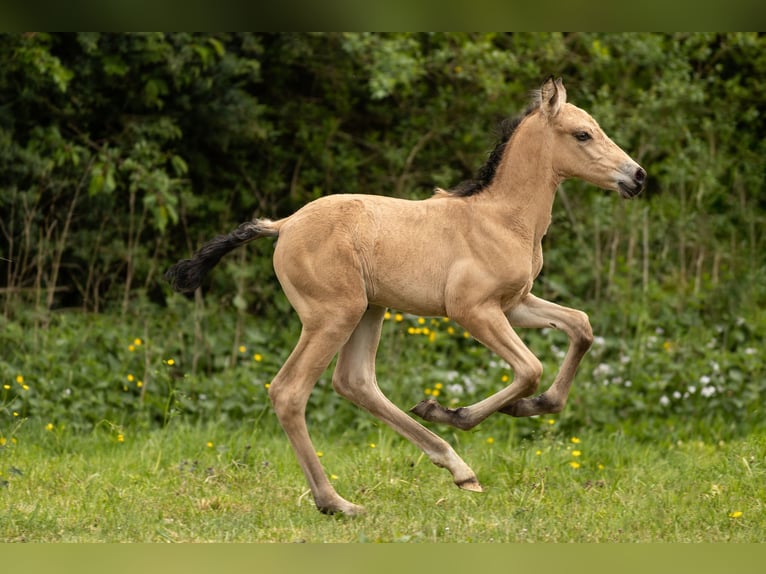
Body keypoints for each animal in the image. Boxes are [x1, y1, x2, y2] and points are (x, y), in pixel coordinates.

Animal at [165, 77, 646, 516]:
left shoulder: (516, 304)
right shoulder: (472, 310)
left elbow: (581, 327)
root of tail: (282, 225)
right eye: (582, 134)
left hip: (369, 311)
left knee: (355, 381)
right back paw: (337, 503)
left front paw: (524, 406)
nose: (637, 176)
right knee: (290, 391)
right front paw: (454, 412)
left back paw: (456, 468)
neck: (501, 218)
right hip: (333, 316)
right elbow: (530, 367)